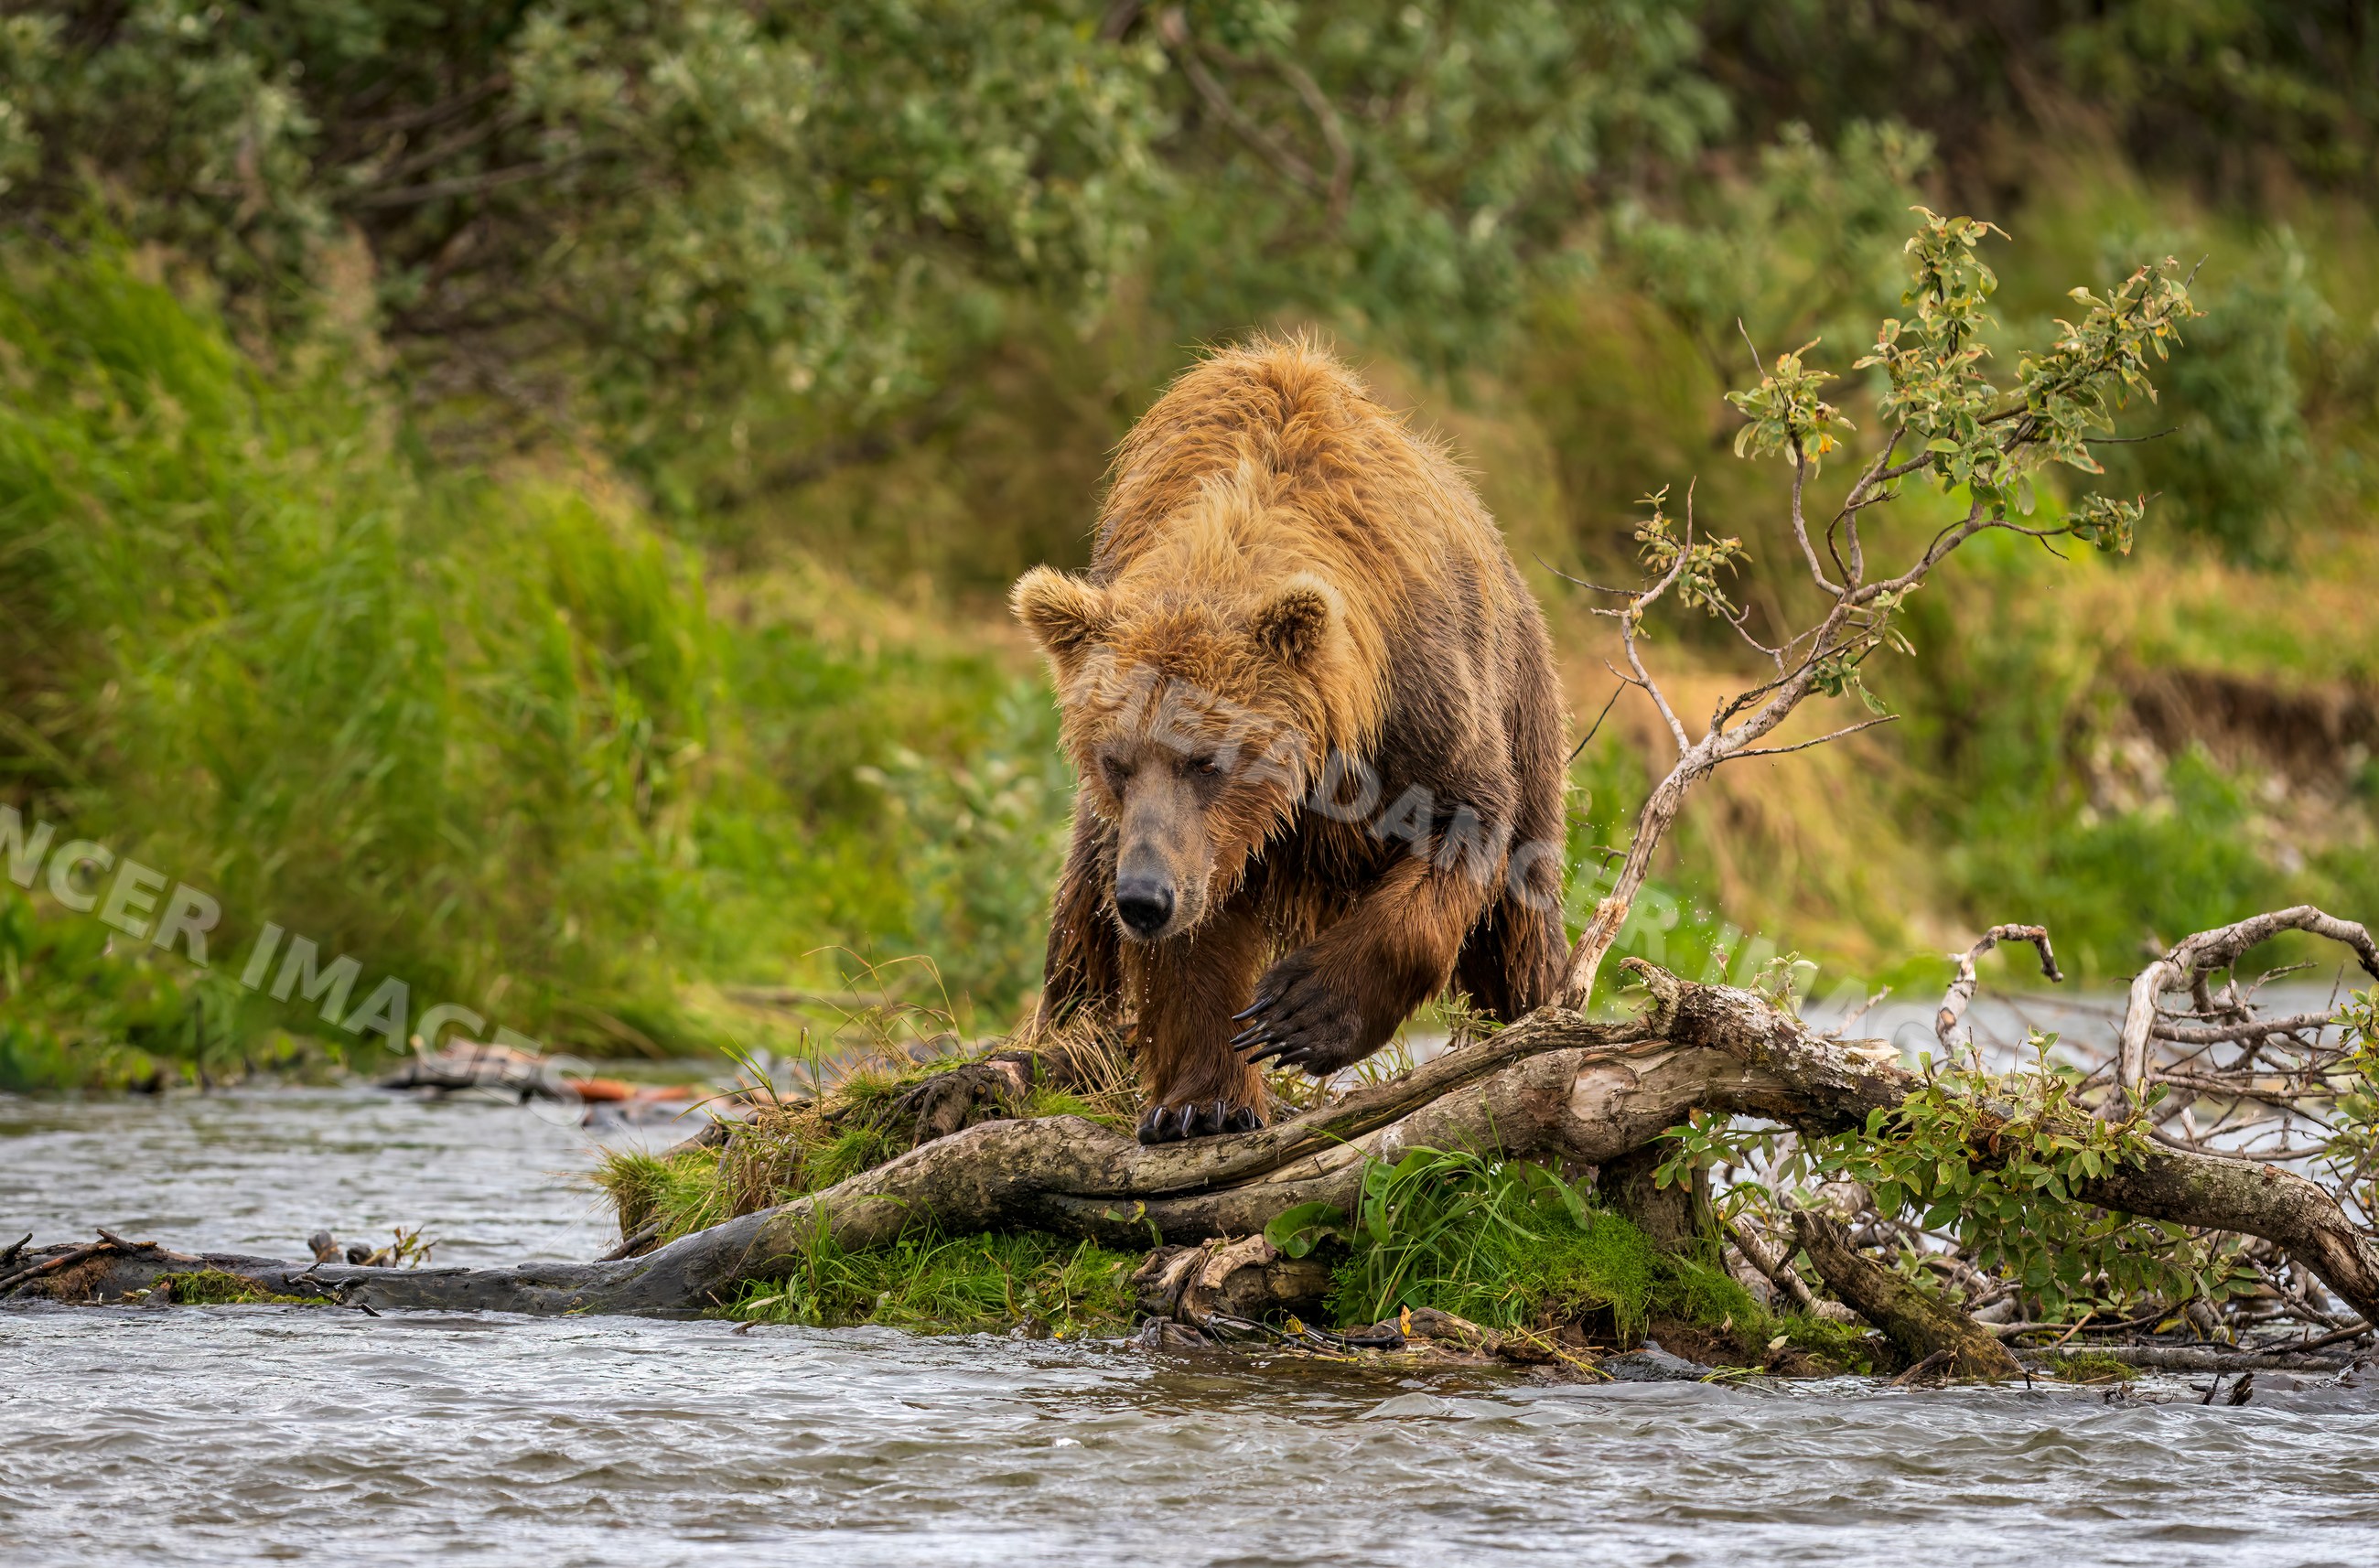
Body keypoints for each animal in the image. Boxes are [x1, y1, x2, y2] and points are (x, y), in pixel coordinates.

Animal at [1012, 336, 1568, 1144]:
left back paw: (1533, 1017)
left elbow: (1458, 829)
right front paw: (1203, 1102)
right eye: (1113, 760)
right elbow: (1195, 936)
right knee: (1082, 929)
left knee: (1520, 926)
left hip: (1525, 706)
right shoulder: (1191, 838)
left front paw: (1299, 1014)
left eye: (1207, 761)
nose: (1146, 897)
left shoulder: (1420, 701)